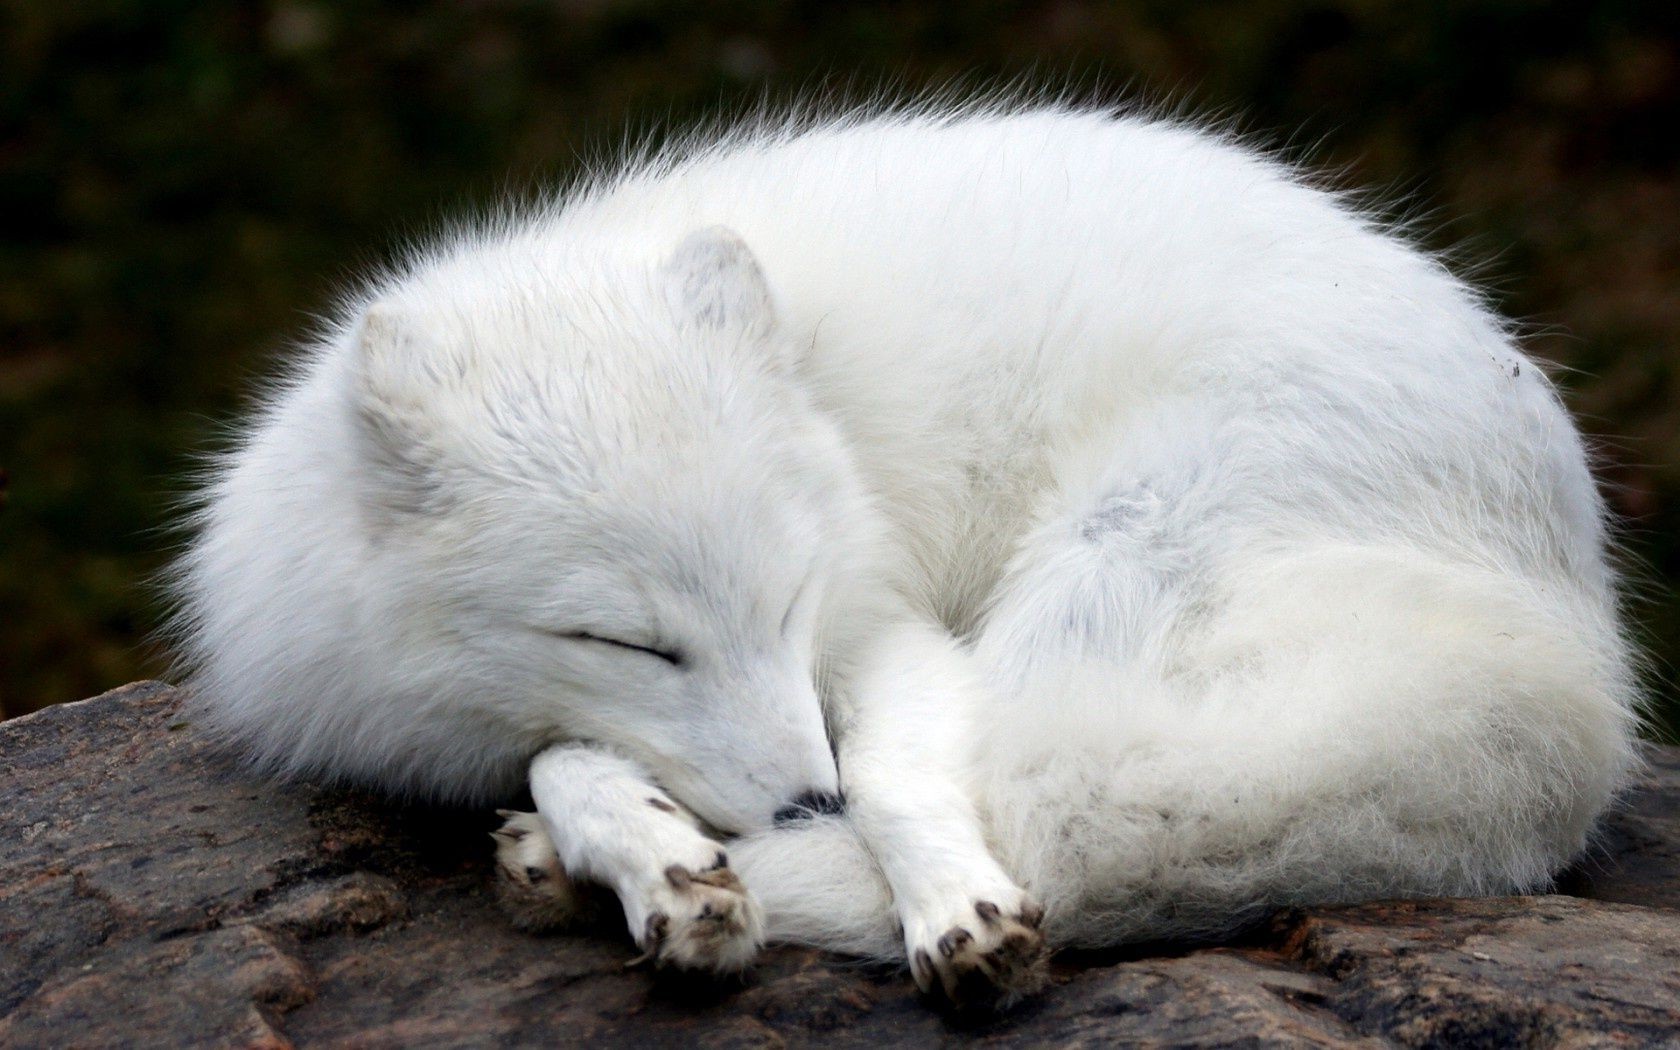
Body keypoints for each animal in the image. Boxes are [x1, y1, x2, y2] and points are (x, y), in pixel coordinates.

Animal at [170, 100, 1639, 1007]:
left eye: (788, 602)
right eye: (626, 641)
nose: (797, 803)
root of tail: (1580, 626)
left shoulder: (885, 624)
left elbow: (900, 778)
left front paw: (936, 902)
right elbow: (567, 747)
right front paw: (639, 842)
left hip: (1108, 563)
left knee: (1064, 826)